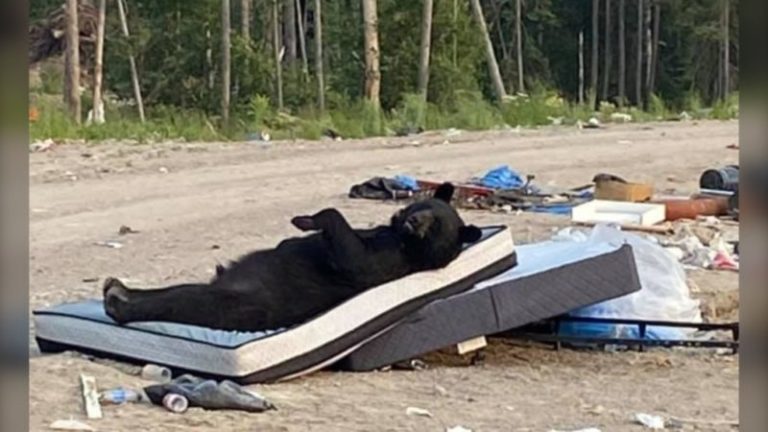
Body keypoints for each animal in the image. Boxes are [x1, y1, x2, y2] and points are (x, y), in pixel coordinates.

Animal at [103, 182, 480, 330]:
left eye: (435, 226)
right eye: (424, 207)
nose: (412, 221)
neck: (405, 244)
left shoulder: (383, 263)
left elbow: (350, 253)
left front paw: (304, 221)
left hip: (242, 301)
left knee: (187, 300)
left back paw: (119, 303)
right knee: (176, 290)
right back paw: (118, 286)